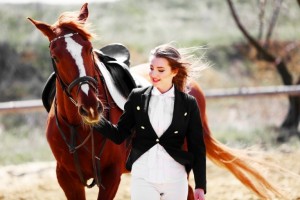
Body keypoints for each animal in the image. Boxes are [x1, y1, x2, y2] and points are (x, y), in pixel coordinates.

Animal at [28, 3, 284, 200]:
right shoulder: (66, 178)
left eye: (90, 50)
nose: (91, 108)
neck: (79, 129)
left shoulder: (111, 177)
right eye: (54, 56)